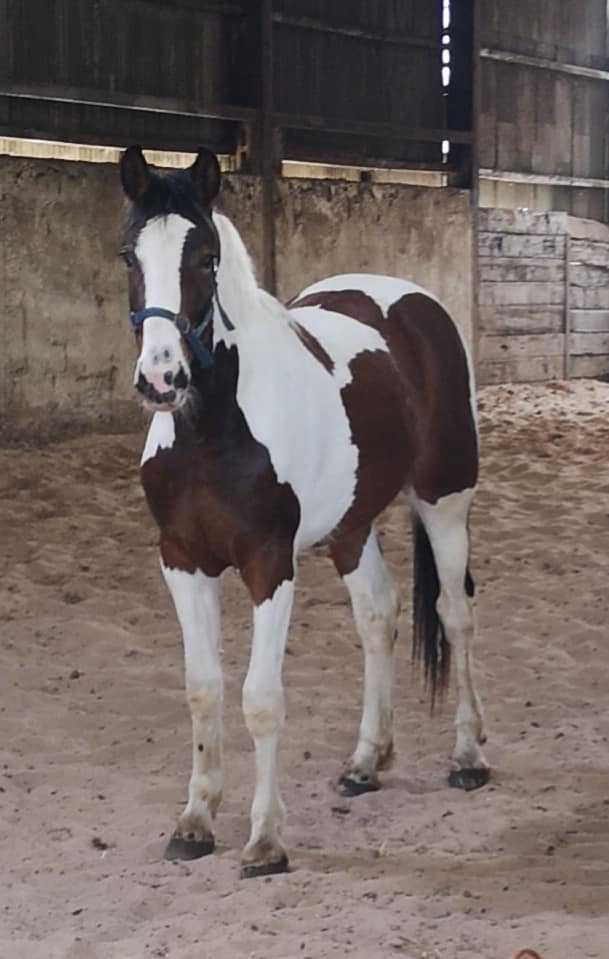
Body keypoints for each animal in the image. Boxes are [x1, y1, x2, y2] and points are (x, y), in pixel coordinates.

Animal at [117, 144, 490, 876]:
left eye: (205, 257)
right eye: (129, 255)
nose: (162, 378)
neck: (213, 433)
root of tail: (412, 302)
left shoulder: (269, 563)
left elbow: (260, 699)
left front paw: (265, 839)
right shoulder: (181, 560)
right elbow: (202, 688)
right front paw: (195, 820)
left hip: (443, 499)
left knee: (454, 614)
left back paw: (467, 756)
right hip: (350, 525)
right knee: (378, 614)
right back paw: (365, 761)